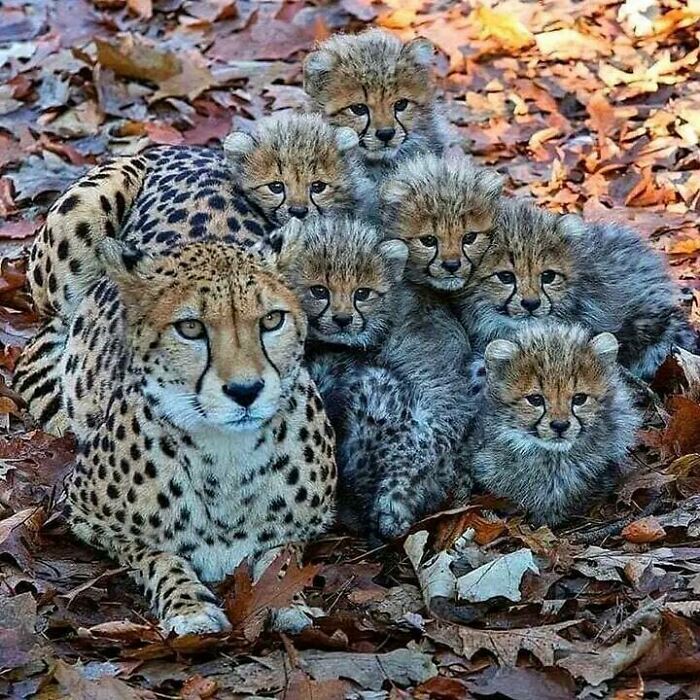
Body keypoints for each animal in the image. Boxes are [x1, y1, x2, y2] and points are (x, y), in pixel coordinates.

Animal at [20, 238, 336, 635]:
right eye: (190, 328)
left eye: (271, 320)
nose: (246, 391)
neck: (227, 453)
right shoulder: (86, 516)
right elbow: (159, 556)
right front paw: (190, 607)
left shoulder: (307, 526)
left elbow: (282, 558)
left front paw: (287, 602)